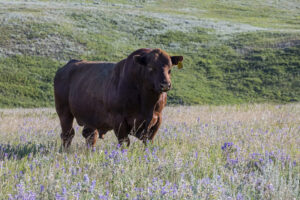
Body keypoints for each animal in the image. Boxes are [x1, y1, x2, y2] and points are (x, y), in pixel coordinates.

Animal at [54, 48, 183, 148]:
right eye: (151, 67)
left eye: (170, 68)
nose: (165, 84)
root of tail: (66, 67)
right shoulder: (119, 121)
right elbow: (124, 142)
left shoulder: (157, 119)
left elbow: (148, 141)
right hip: (64, 112)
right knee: (68, 134)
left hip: (89, 118)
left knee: (90, 135)